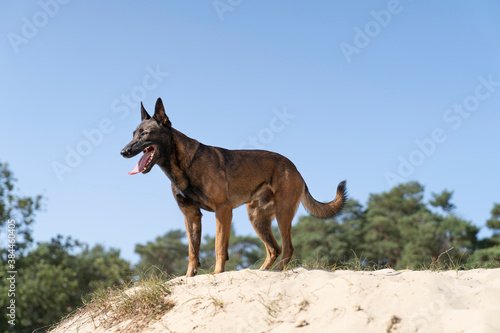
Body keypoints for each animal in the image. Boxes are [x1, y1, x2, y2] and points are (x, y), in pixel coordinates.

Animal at [121, 97, 348, 276]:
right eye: (133, 134)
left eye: (145, 134)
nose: (123, 152)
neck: (183, 165)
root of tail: (294, 167)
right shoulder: (191, 216)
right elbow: (193, 252)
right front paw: (188, 277)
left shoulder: (223, 211)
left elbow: (219, 246)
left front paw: (217, 273)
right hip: (256, 217)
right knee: (273, 249)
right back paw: (262, 272)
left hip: (282, 215)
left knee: (287, 248)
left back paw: (276, 272)